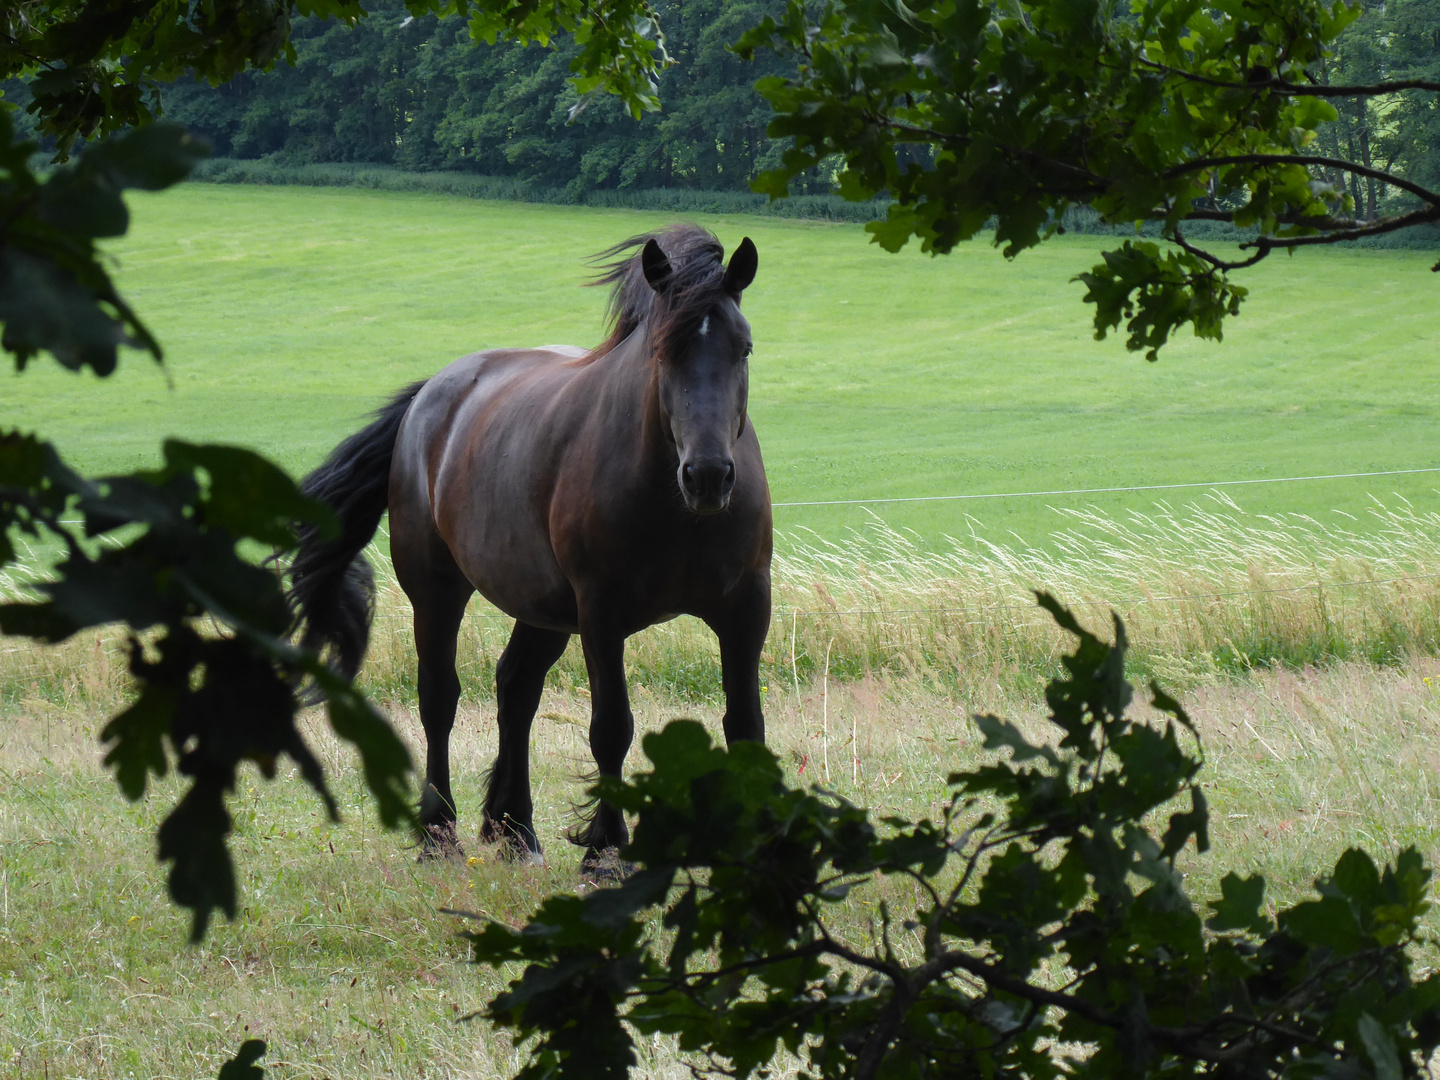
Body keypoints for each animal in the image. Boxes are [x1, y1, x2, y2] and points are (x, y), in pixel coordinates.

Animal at [285, 228, 771, 869]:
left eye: (743, 349)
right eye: (662, 352)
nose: (709, 476)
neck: (674, 505)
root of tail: (430, 396)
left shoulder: (745, 610)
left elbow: (745, 725)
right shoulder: (602, 613)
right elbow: (611, 726)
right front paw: (605, 849)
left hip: (543, 608)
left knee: (515, 688)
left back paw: (516, 830)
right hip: (436, 591)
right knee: (439, 697)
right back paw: (438, 832)